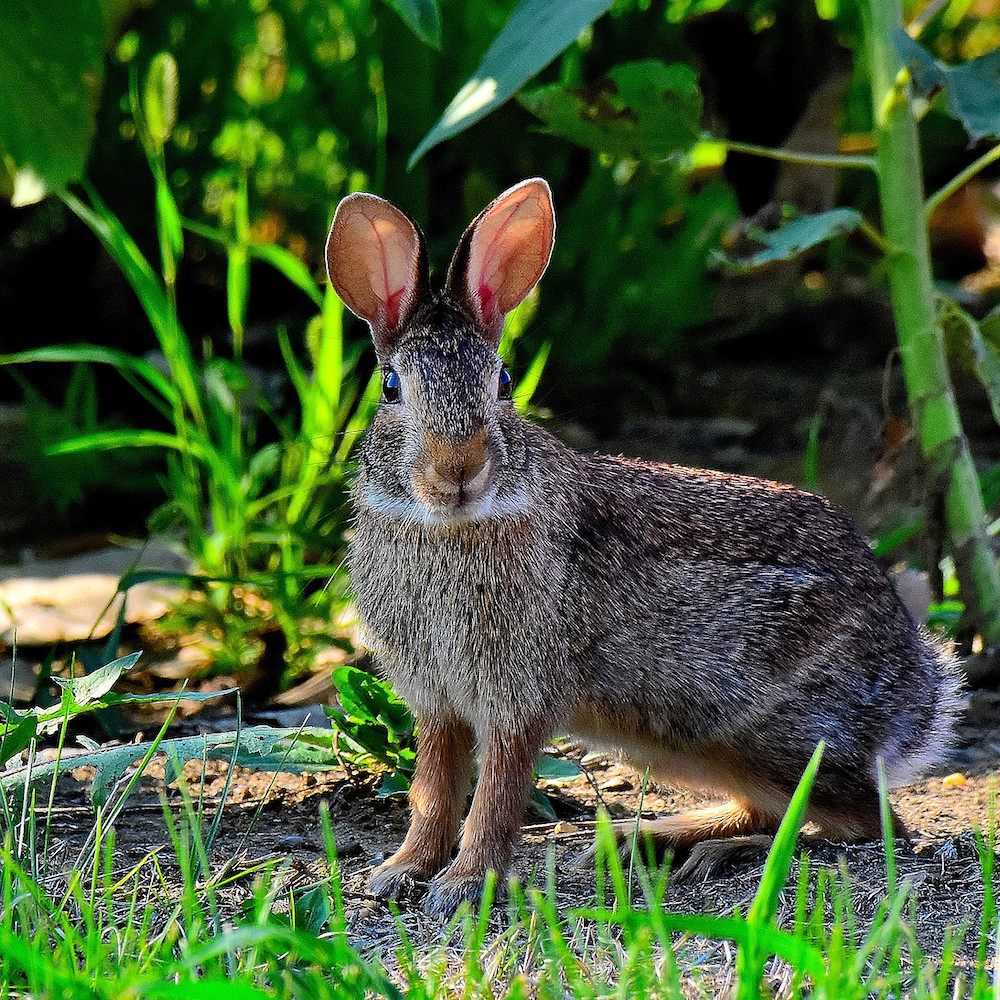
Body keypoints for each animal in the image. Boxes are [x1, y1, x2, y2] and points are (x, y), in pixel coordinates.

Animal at [326, 178, 960, 916]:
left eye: (503, 382)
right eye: (391, 387)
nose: (459, 469)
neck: (451, 525)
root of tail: (915, 686)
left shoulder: (519, 697)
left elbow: (496, 798)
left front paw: (461, 887)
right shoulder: (437, 701)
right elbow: (432, 792)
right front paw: (399, 872)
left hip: (763, 733)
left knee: (862, 823)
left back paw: (710, 849)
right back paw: (651, 838)